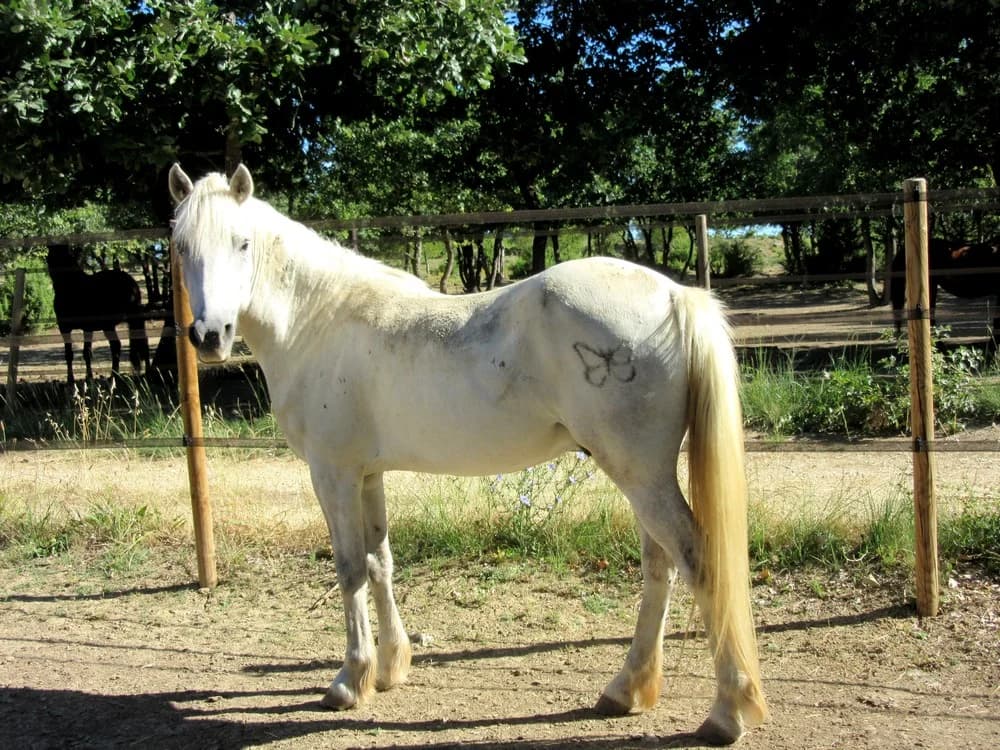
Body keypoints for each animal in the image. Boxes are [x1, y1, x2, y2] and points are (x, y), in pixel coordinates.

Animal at [46, 244, 150, 383]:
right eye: (50, 257)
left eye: (66, 257)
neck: (72, 288)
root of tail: (132, 284)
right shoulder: (69, 328)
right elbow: (74, 353)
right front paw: (76, 379)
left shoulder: (81, 328)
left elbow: (82, 353)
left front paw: (83, 378)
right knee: (133, 344)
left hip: (115, 323)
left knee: (122, 345)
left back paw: (118, 375)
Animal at [168, 164, 767, 744]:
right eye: (180, 245)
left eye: (242, 242)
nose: (210, 336)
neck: (317, 319)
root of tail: (674, 297)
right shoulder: (368, 475)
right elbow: (379, 562)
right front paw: (391, 668)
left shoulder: (333, 473)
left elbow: (349, 569)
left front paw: (349, 681)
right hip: (643, 478)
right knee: (659, 567)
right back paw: (626, 690)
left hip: (641, 476)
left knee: (696, 561)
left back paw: (727, 713)